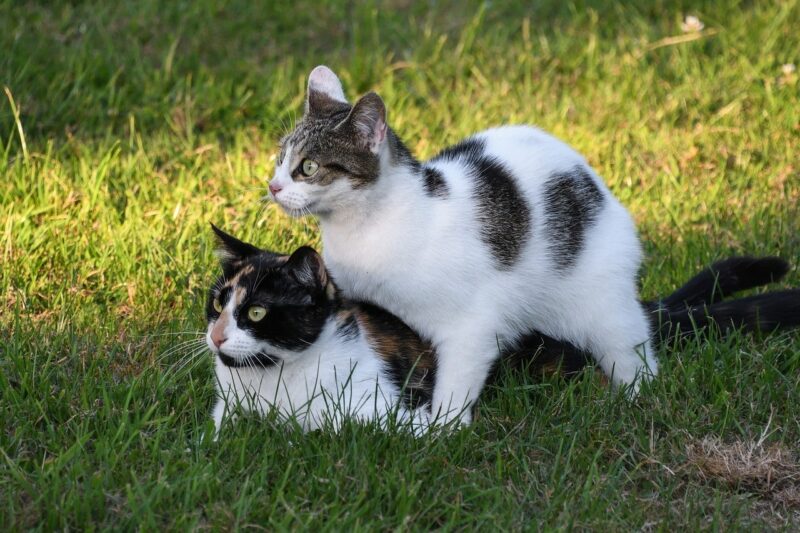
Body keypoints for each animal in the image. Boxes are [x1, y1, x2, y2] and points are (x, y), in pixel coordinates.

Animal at [208, 222, 800, 434]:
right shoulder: (225, 410)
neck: (274, 384)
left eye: (256, 313)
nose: (214, 336)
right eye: (217, 302)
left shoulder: (387, 409)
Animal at [270, 66, 800, 424]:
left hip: (602, 307)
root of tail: (597, 185)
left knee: (635, 352)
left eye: (308, 168)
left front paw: (443, 431)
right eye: (279, 160)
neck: (365, 228)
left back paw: (632, 399)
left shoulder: (470, 327)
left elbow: (457, 382)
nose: (272, 187)